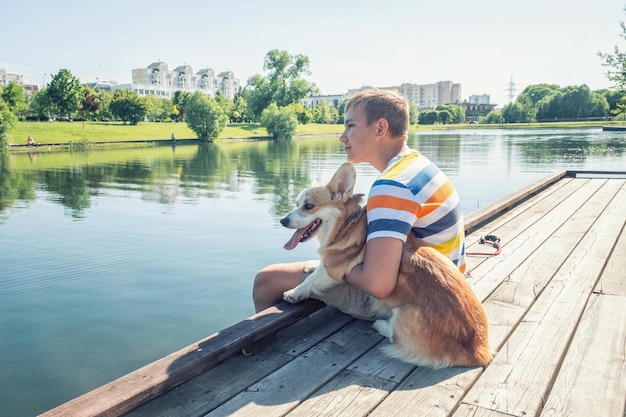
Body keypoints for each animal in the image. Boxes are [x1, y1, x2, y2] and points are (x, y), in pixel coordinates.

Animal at [280, 162, 490, 368]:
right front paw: (310, 264)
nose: (282, 220)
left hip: (402, 314)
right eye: (297, 204)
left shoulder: (335, 268)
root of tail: (478, 352)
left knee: (393, 334)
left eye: (309, 206)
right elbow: (318, 266)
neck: (345, 225)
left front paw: (293, 292)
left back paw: (380, 325)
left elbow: (313, 278)